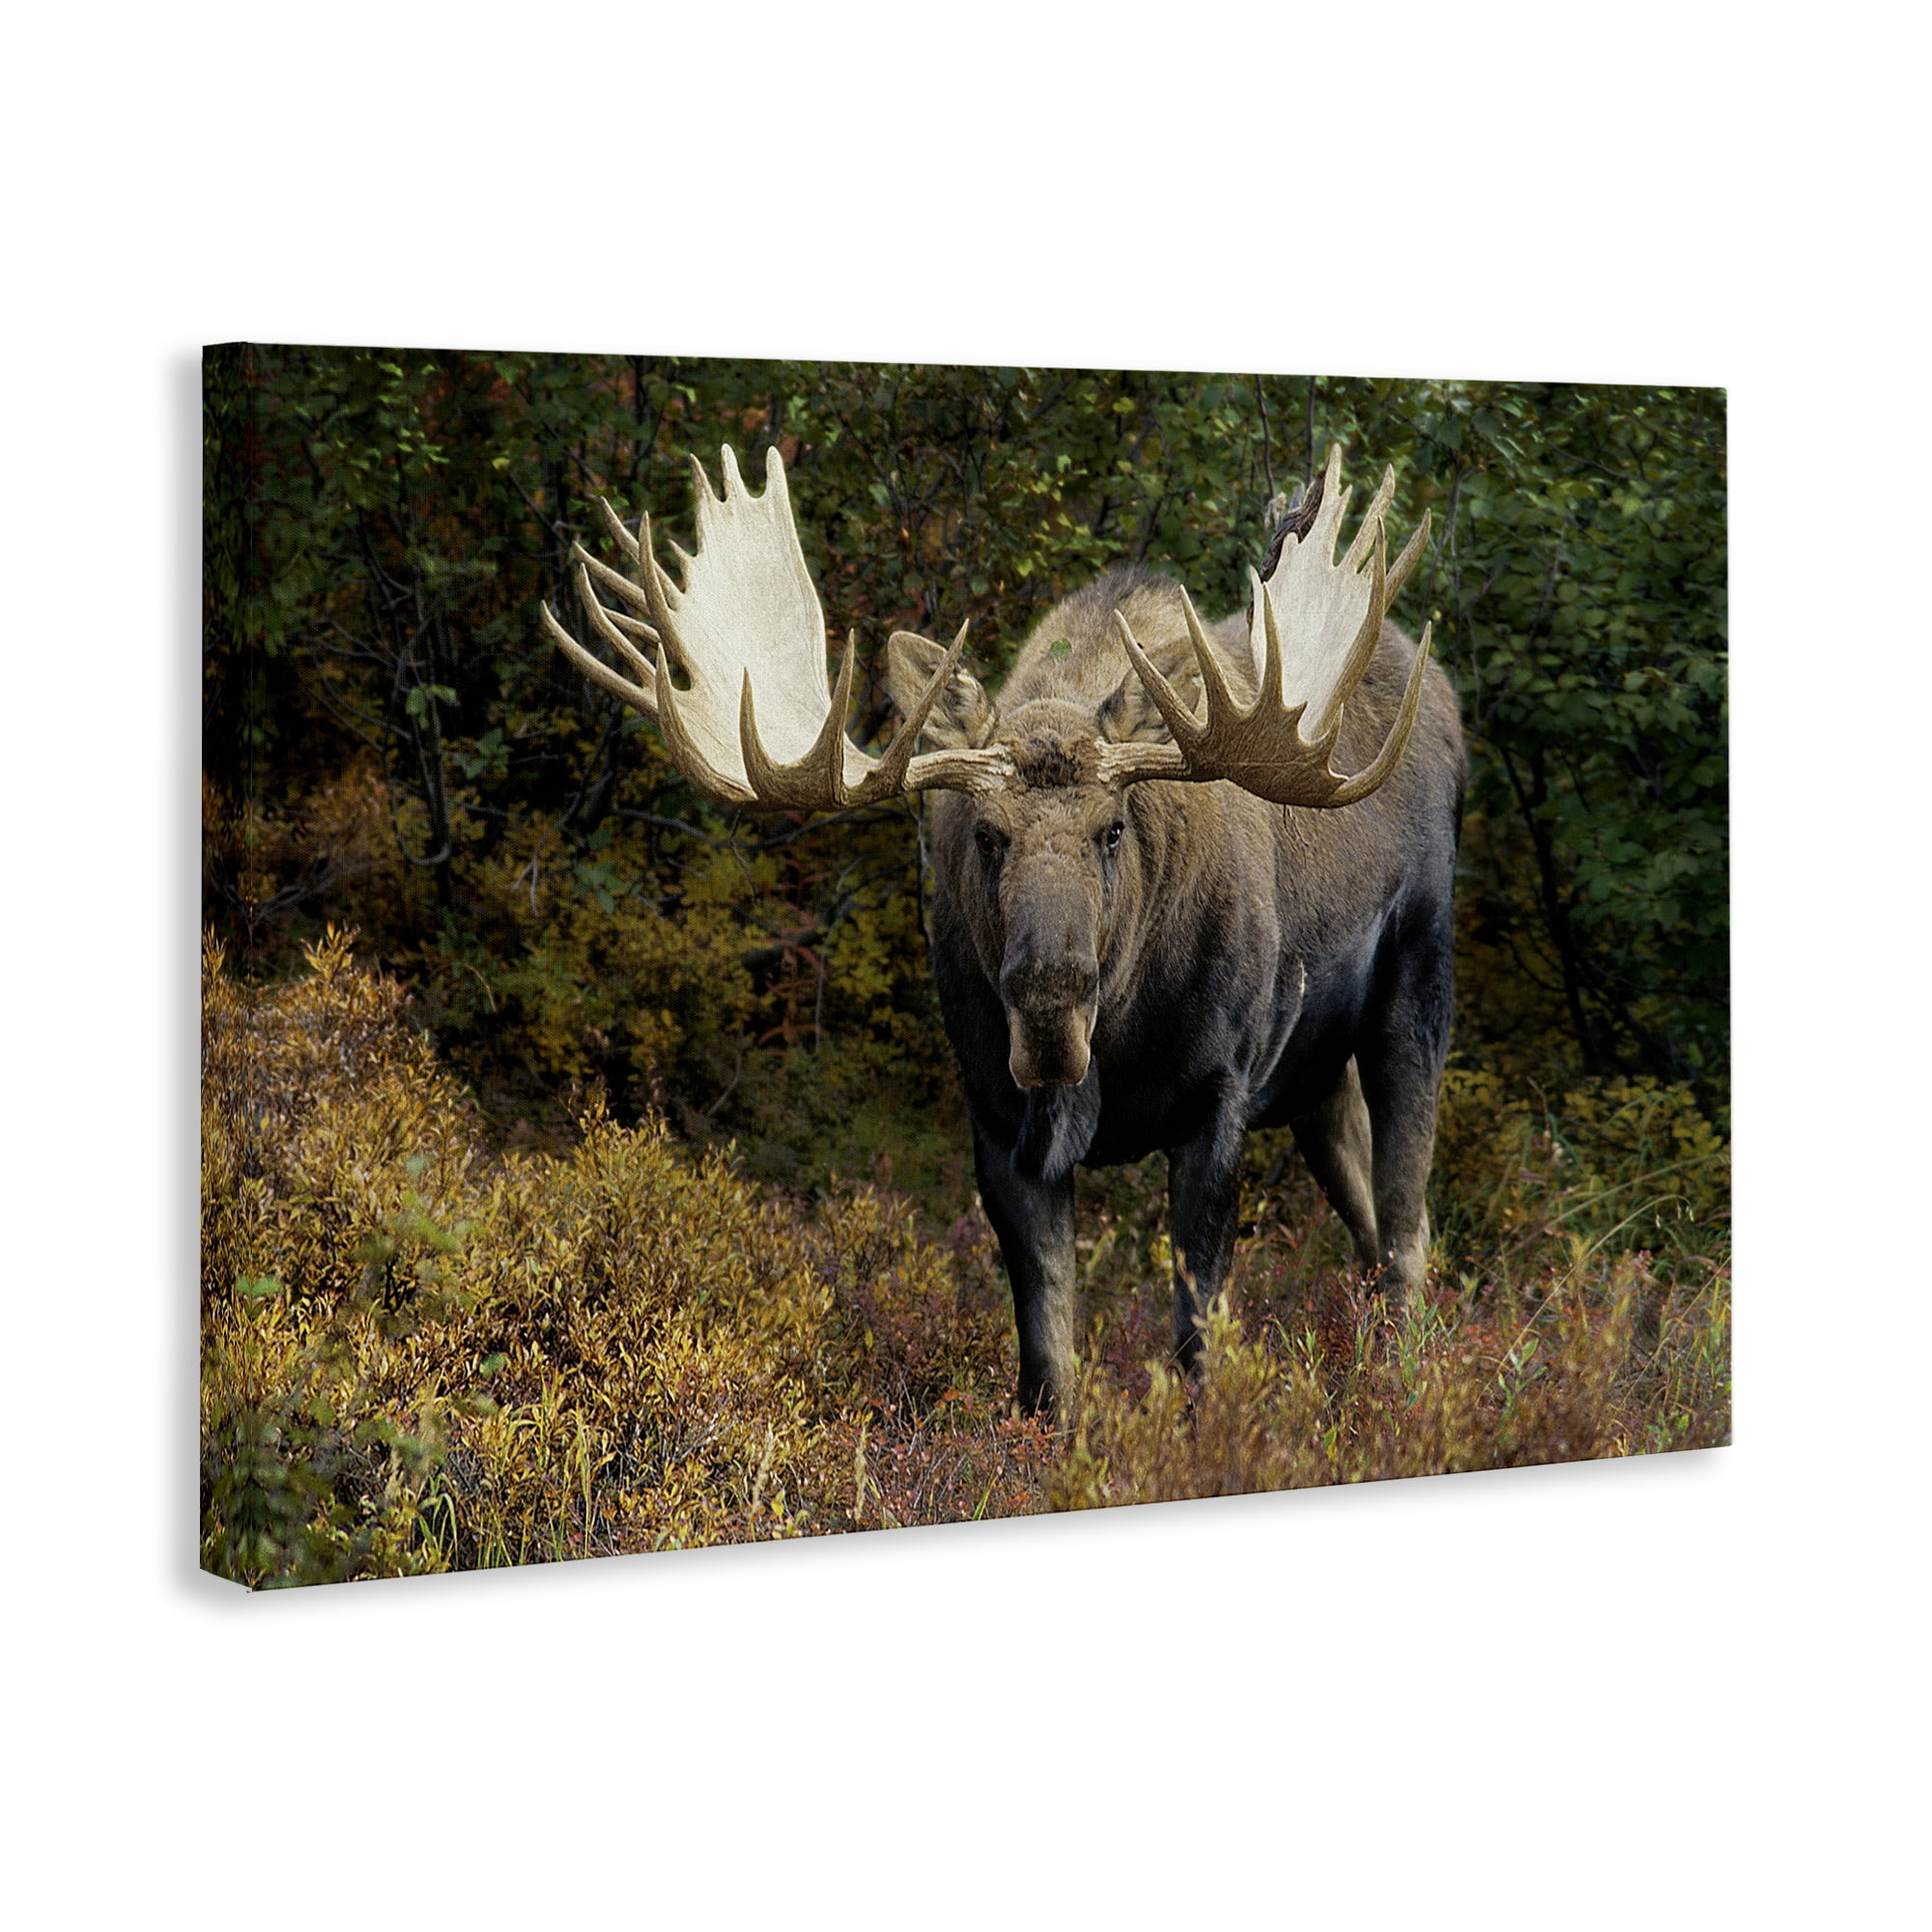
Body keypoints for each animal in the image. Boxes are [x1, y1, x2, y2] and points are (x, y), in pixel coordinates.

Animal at [544, 442, 1464, 1416]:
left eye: (1113, 828)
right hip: (1313, 1074)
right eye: (987, 834)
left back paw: (1406, 1380)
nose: (1050, 1003)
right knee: (1366, 1207)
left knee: (1407, 1222)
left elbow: (1196, 1335)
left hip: (1417, 978)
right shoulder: (994, 1116)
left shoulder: (1219, 1095)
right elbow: (1047, 1361)